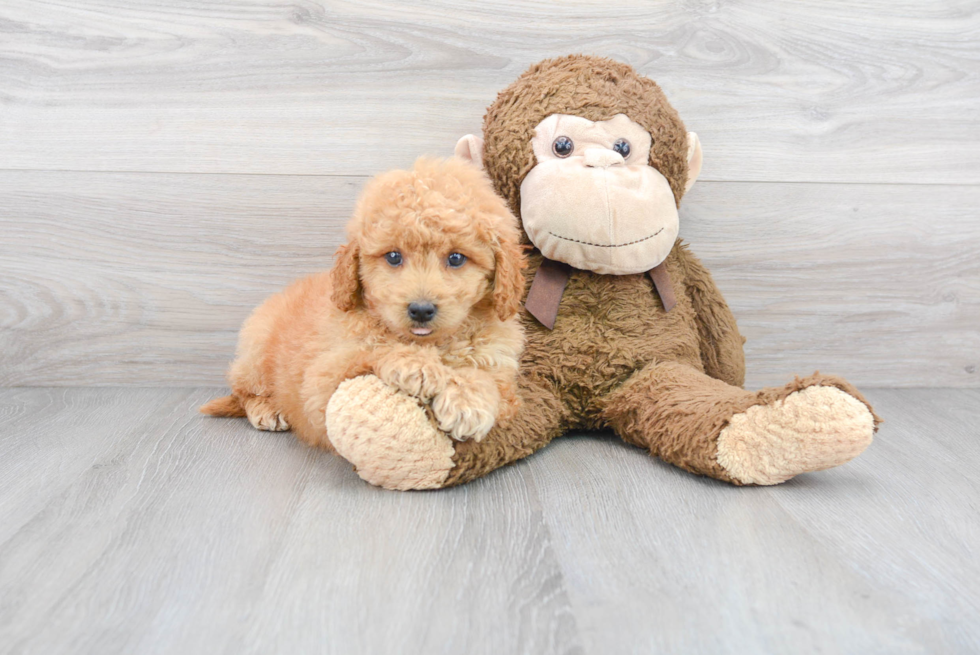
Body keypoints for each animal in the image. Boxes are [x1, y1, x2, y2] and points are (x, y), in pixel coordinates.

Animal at [199, 156, 528, 448]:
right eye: (393, 257)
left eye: (456, 258)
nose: (421, 310)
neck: (431, 343)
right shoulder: (320, 382)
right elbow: (366, 352)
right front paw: (415, 364)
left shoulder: (503, 374)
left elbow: (490, 383)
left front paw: (467, 401)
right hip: (255, 353)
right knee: (242, 390)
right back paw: (266, 409)